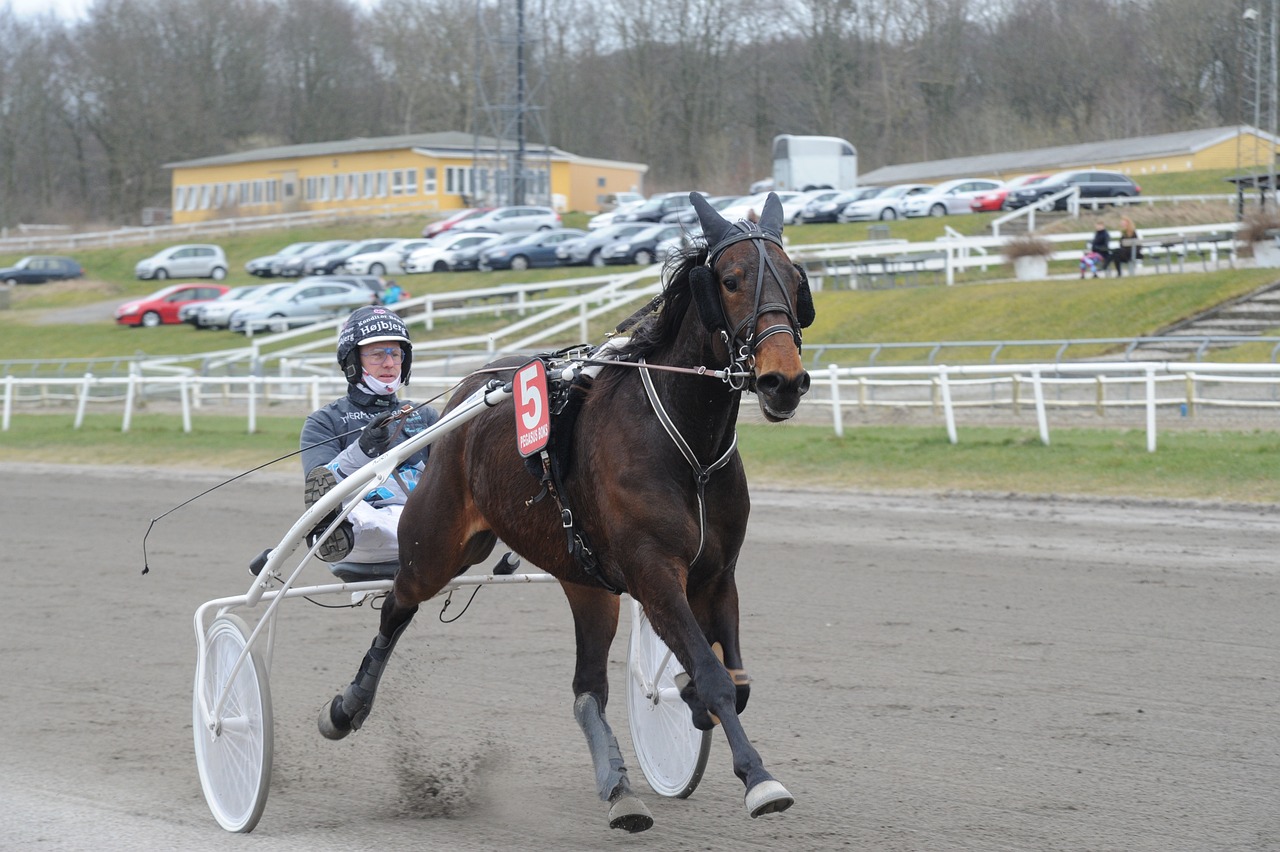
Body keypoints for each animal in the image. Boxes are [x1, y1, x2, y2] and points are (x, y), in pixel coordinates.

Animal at [317, 191, 808, 828]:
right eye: (730, 280)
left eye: (796, 280)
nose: (783, 381)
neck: (688, 449)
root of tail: (471, 391)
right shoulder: (655, 575)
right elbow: (715, 676)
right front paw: (758, 778)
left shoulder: (716, 576)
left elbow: (735, 682)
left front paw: (688, 702)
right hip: (437, 546)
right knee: (397, 604)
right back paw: (346, 707)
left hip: (587, 582)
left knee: (586, 691)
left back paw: (619, 789)